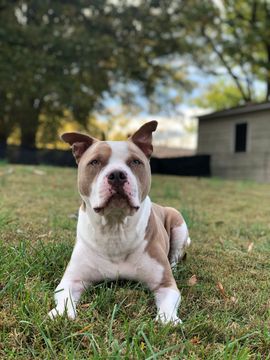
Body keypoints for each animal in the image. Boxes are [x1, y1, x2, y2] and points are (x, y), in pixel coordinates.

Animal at [49, 121, 191, 324]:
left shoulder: (165, 284)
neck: (114, 227)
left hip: (178, 222)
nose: (117, 174)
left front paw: (168, 320)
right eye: (94, 162)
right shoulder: (72, 279)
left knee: (175, 256)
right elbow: (65, 296)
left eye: (136, 162)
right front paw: (61, 313)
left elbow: (168, 303)